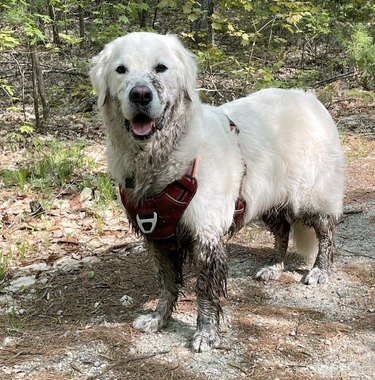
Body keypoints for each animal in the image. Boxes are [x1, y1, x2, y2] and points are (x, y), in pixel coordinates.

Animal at [89, 32, 346, 354]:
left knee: (327, 231)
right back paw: (274, 266)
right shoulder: (157, 235)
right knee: (283, 230)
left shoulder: (205, 234)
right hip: (263, 199)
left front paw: (206, 333)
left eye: (161, 67)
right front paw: (159, 318)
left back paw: (320, 270)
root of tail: (310, 98)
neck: (166, 157)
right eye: (120, 69)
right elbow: (167, 283)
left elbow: (205, 291)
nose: (140, 95)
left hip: (309, 197)